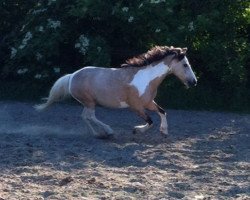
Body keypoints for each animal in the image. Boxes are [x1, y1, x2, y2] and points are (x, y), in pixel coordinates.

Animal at [34, 46, 197, 138]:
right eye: (185, 65)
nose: (194, 82)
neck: (146, 78)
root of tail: (72, 76)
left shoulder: (149, 102)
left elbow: (162, 112)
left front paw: (164, 131)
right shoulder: (136, 107)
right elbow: (150, 121)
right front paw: (137, 130)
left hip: (88, 103)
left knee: (85, 116)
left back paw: (96, 134)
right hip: (89, 102)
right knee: (90, 116)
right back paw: (108, 131)